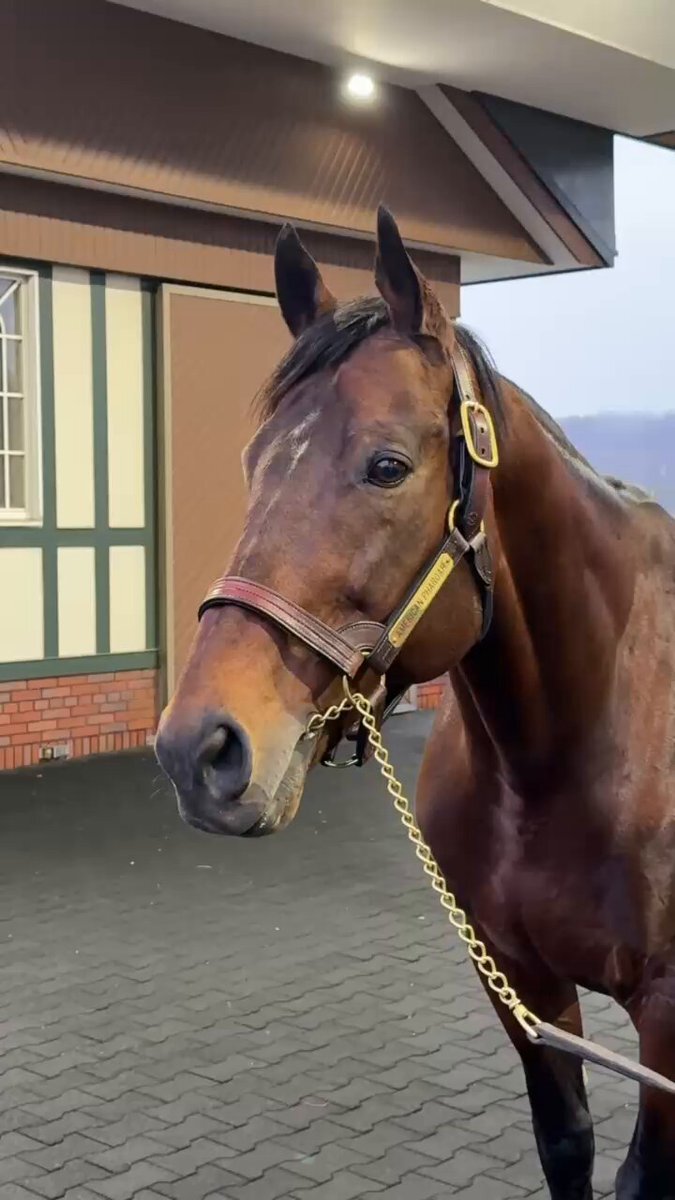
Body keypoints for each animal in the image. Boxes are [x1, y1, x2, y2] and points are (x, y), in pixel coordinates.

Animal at [155, 206, 675, 1199]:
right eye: (252, 461)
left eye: (387, 466)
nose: (199, 750)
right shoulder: (520, 988)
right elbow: (569, 1144)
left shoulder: (668, 1012)